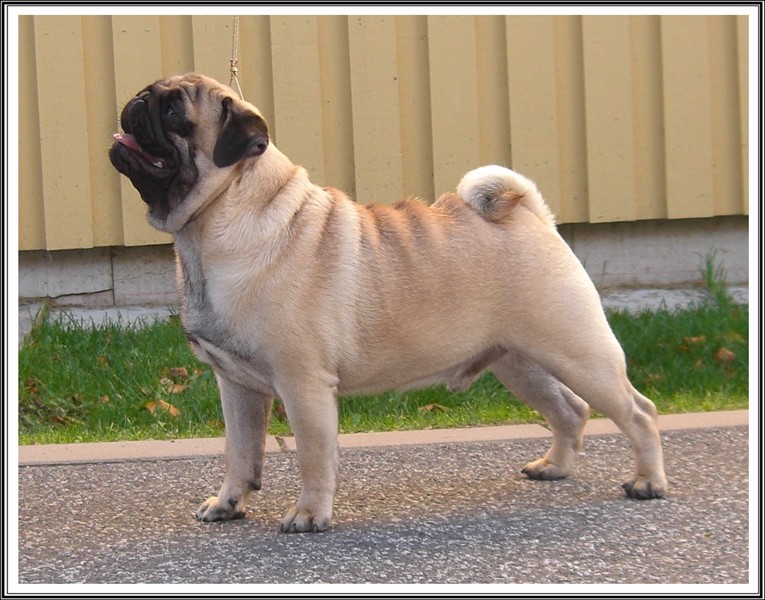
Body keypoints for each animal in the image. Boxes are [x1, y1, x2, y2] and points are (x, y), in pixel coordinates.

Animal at [109, 73, 667, 533]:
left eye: (174, 112)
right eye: (150, 94)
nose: (135, 101)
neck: (214, 227)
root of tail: (530, 214)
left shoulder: (303, 385)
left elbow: (313, 457)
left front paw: (309, 515)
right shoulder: (237, 386)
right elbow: (239, 453)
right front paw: (228, 504)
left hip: (577, 352)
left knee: (637, 411)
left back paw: (648, 483)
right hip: (520, 362)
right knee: (569, 410)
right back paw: (555, 468)